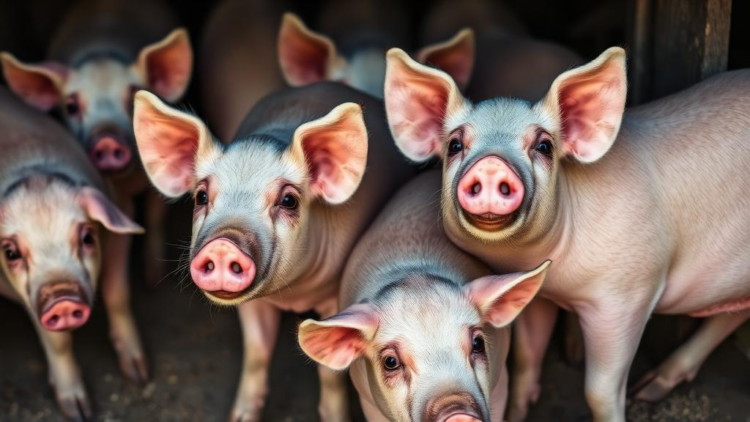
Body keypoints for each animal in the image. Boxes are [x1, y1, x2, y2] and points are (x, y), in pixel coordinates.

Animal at [0, 87, 143, 420]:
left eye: (87, 237)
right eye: (11, 253)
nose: (62, 297)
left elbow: (118, 294)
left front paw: (139, 375)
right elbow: (57, 342)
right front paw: (78, 411)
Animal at [132, 81, 415, 420]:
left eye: (289, 200)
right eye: (201, 196)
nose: (224, 244)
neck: (293, 294)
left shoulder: (338, 297)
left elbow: (329, 371)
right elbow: (257, 353)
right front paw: (239, 417)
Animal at [299, 170, 550, 422]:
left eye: (478, 343)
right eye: (391, 362)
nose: (457, 414)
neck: (414, 273)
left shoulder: (500, 384)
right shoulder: (369, 402)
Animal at [384, 47, 750, 422]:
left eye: (544, 146)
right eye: (456, 144)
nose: (491, 164)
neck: (556, 274)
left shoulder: (631, 293)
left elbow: (599, 389)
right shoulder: (540, 296)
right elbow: (527, 357)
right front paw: (518, 412)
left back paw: (644, 391)